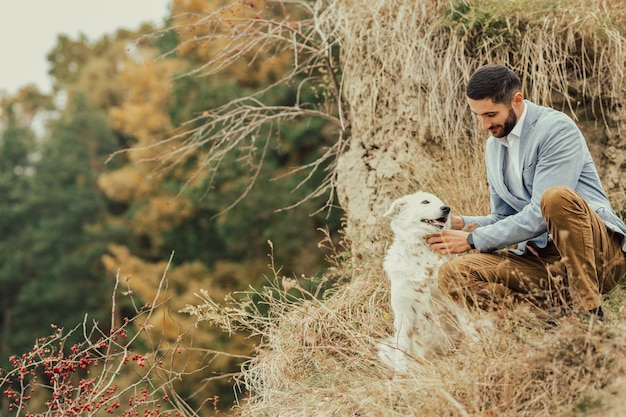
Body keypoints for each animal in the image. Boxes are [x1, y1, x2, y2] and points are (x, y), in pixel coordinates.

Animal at [376, 190, 472, 372]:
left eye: (440, 202)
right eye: (425, 202)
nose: (446, 208)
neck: (421, 251)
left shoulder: (451, 299)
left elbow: (467, 324)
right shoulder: (403, 313)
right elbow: (402, 350)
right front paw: (401, 375)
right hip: (385, 348)